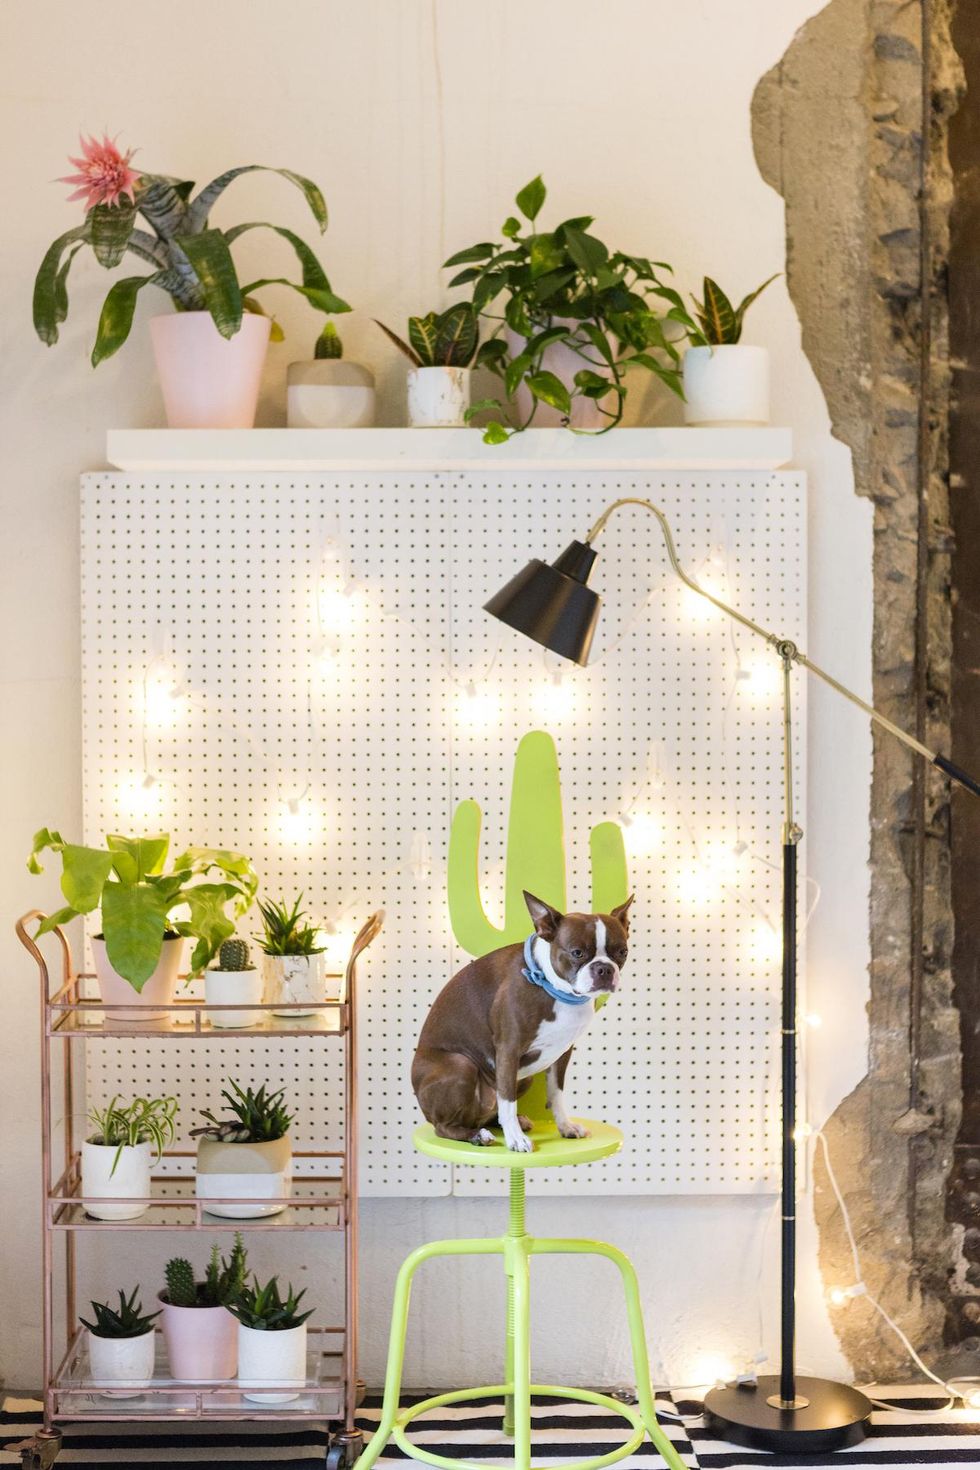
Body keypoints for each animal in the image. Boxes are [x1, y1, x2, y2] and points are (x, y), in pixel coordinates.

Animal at [411, 887, 631, 1152]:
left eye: (622, 952)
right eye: (577, 953)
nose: (604, 969)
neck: (555, 989)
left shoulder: (562, 1054)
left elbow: (556, 1094)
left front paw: (565, 1127)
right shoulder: (508, 1049)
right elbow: (507, 1100)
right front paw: (514, 1138)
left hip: (524, 1078)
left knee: (487, 1113)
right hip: (461, 1065)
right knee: (444, 1127)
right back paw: (477, 1135)